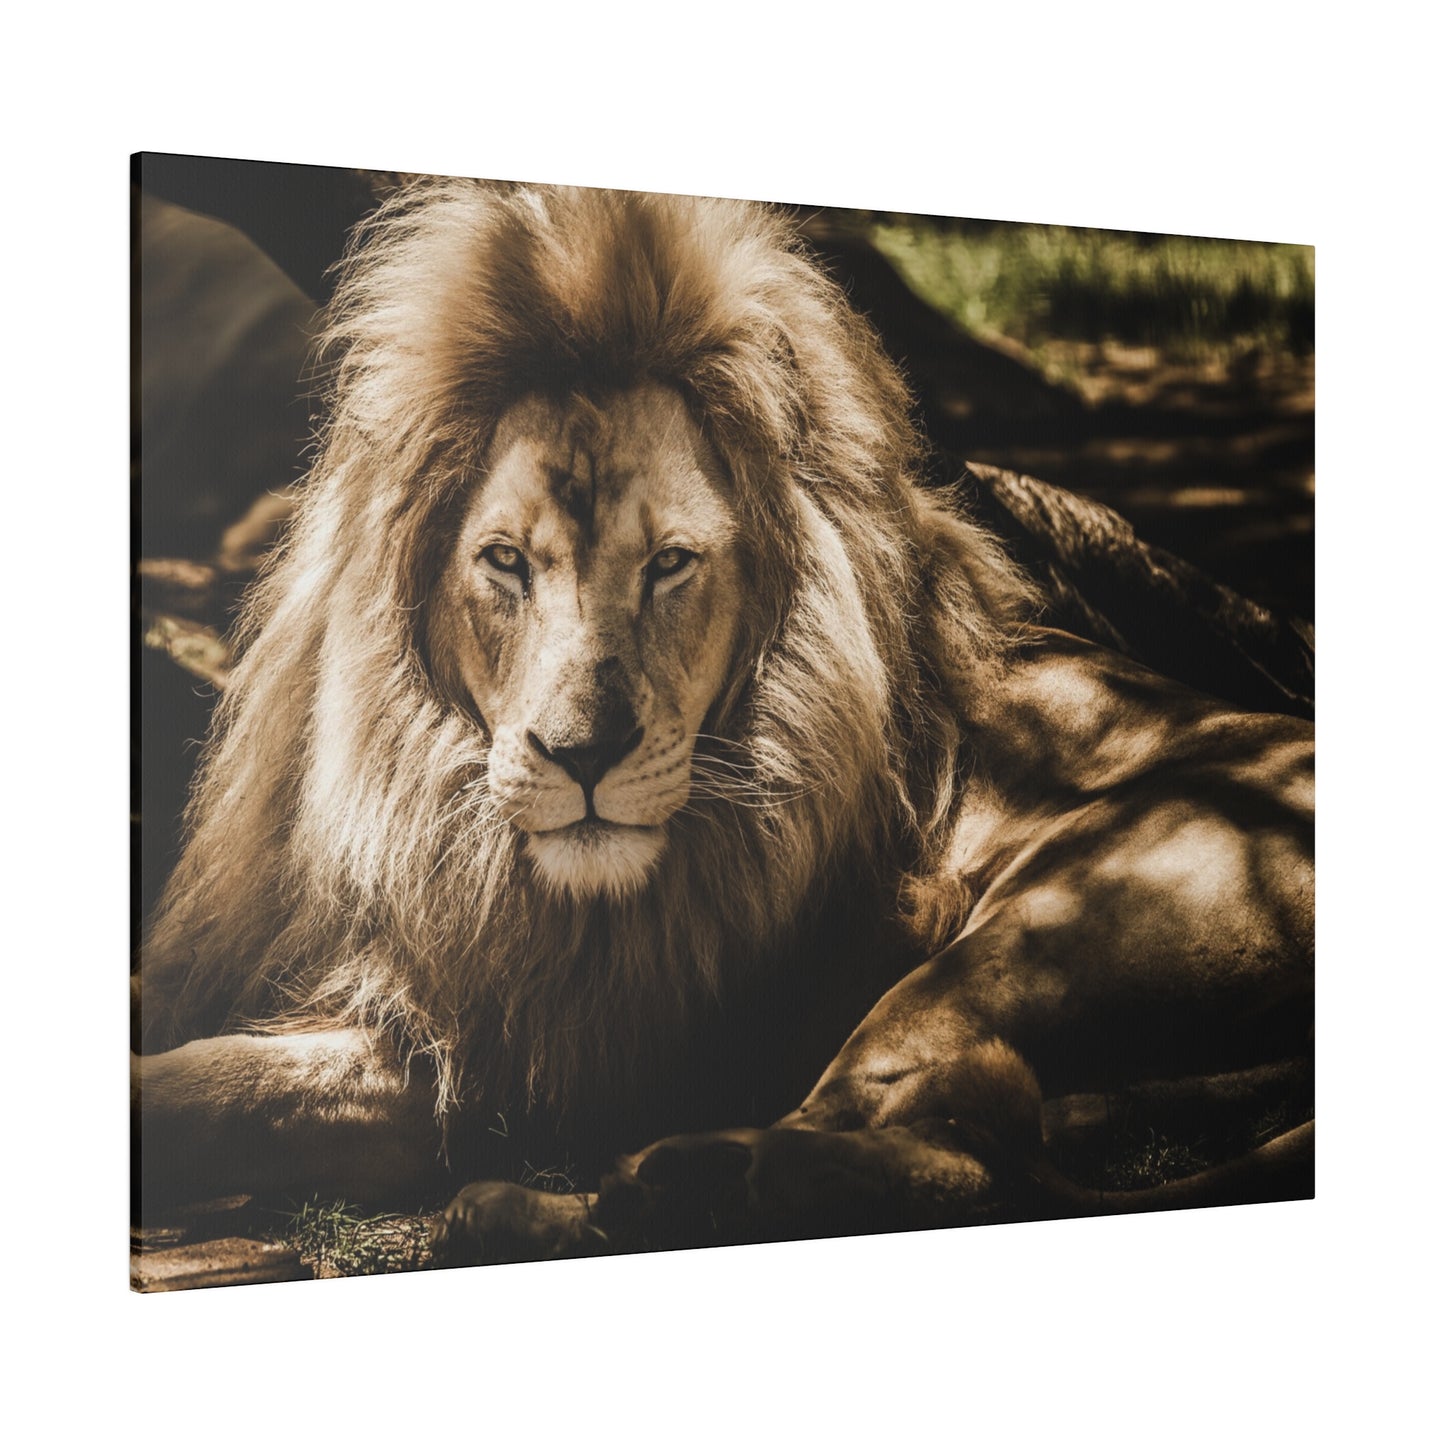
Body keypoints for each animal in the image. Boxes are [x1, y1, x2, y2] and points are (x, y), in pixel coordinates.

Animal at [132, 183, 1312, 1265]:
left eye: (670, 563)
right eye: (504, 560)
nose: (582, 755)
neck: (426, 805)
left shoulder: (524, 1054)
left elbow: (214, 1087)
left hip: (1030, 931)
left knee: (942, 1151)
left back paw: (592, 1195)